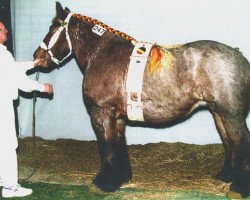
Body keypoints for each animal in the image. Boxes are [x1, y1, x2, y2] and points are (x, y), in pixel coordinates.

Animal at [33, 1, 250, 195]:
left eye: (52, 29)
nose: (37, 56)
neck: (101, 53)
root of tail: (241, 58)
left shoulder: (102, 113)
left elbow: (106, 148)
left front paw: (104, 182)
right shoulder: (118, 117)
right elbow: (118, 145)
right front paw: (120, 178)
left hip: (232, 115)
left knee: (241, 142)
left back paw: (239, 188)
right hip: (219, 113)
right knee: (229, 142)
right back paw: (226, 176)